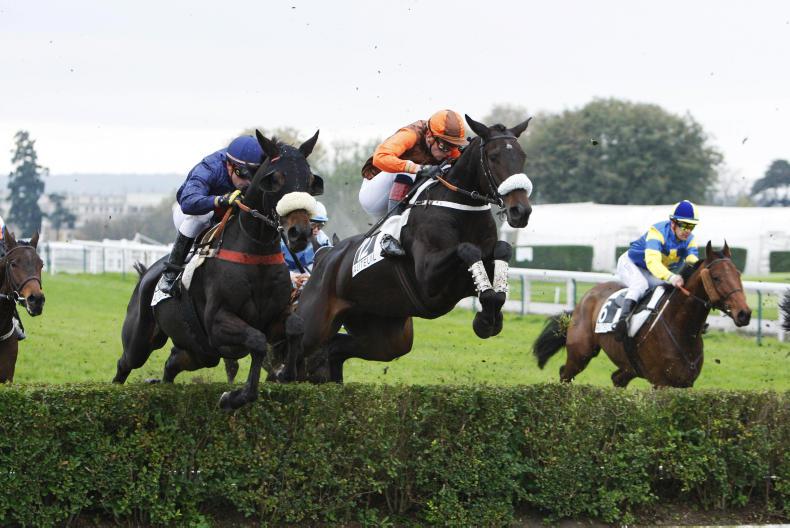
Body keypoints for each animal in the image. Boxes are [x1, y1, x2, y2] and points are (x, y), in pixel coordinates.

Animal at [113, 130, 323, 410]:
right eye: (274, 179)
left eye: (310, 181)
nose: (299, 232)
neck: (254, 254)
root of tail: (147, 273)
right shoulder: (218, 322)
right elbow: (256, 341)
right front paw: (234, 396)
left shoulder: (275, 317)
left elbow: (295, 327)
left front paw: (283, 373)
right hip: (141, 340)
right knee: (124, 363)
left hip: (199, 351)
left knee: (172, 362)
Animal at [292, 115, 533, 383]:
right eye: (493, 156)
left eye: (522, 156)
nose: (520, 211)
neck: (461, 209)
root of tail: (324, 255)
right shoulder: (428, 278)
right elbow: (468, 250)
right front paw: (485, 315)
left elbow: (501, 253)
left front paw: (488, 318)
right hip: (313, 324)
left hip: (385, 333)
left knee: (334, 349)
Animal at [532, 242, 751, 388]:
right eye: (716, 277)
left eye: (738, 274)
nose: (744, 314)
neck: (681, 328)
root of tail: (586, 297)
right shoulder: (661, 383)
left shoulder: (686, 384)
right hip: (581, 353)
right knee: (565, 374)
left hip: (629, 366)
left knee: (616, 379)